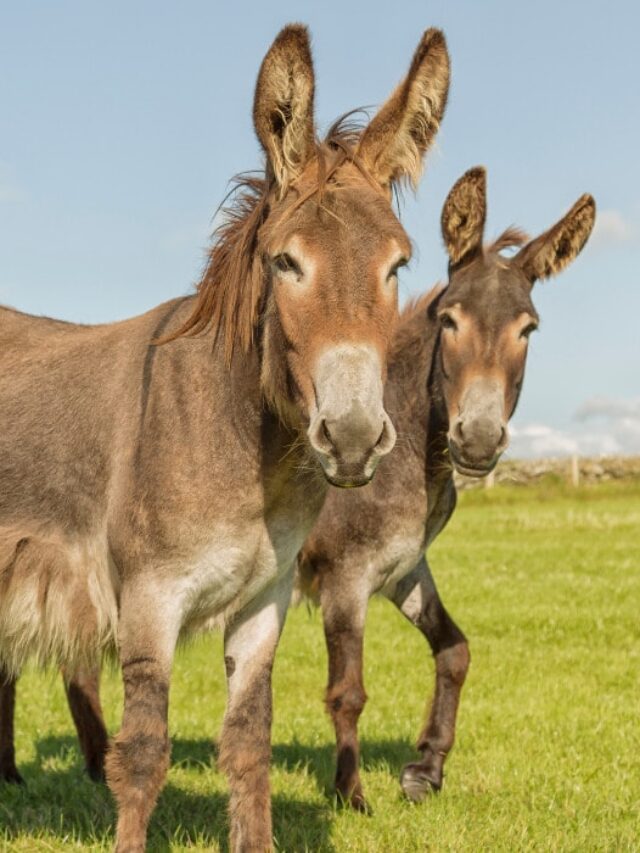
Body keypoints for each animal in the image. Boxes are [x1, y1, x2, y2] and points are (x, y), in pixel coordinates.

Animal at [0, 24, 450, 852]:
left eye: (398, 264)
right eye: (286, 262)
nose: (352, 438)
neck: (246, 446)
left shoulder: (263, 601)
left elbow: (248, 742)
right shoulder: (148, 597)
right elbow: (145, 752)